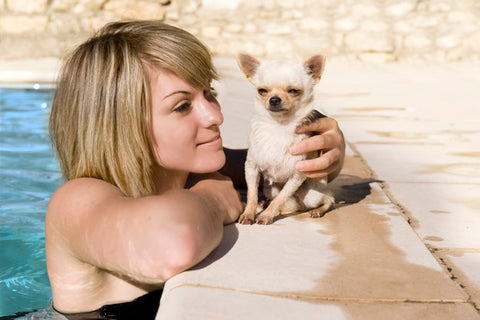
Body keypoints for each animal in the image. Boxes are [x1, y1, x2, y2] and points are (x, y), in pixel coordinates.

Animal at [236, 53, 334, 225]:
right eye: (262, 90)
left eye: (293, 91)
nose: (274, 99)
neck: (279, 126)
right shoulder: (251, 167)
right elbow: (252, 194)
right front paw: (248, 213)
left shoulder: (297, 176)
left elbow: (280, 199)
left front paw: (267, 216)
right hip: (269, 188)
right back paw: (264, 203)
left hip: (311, 195)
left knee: (328, 199)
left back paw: (317, 210)